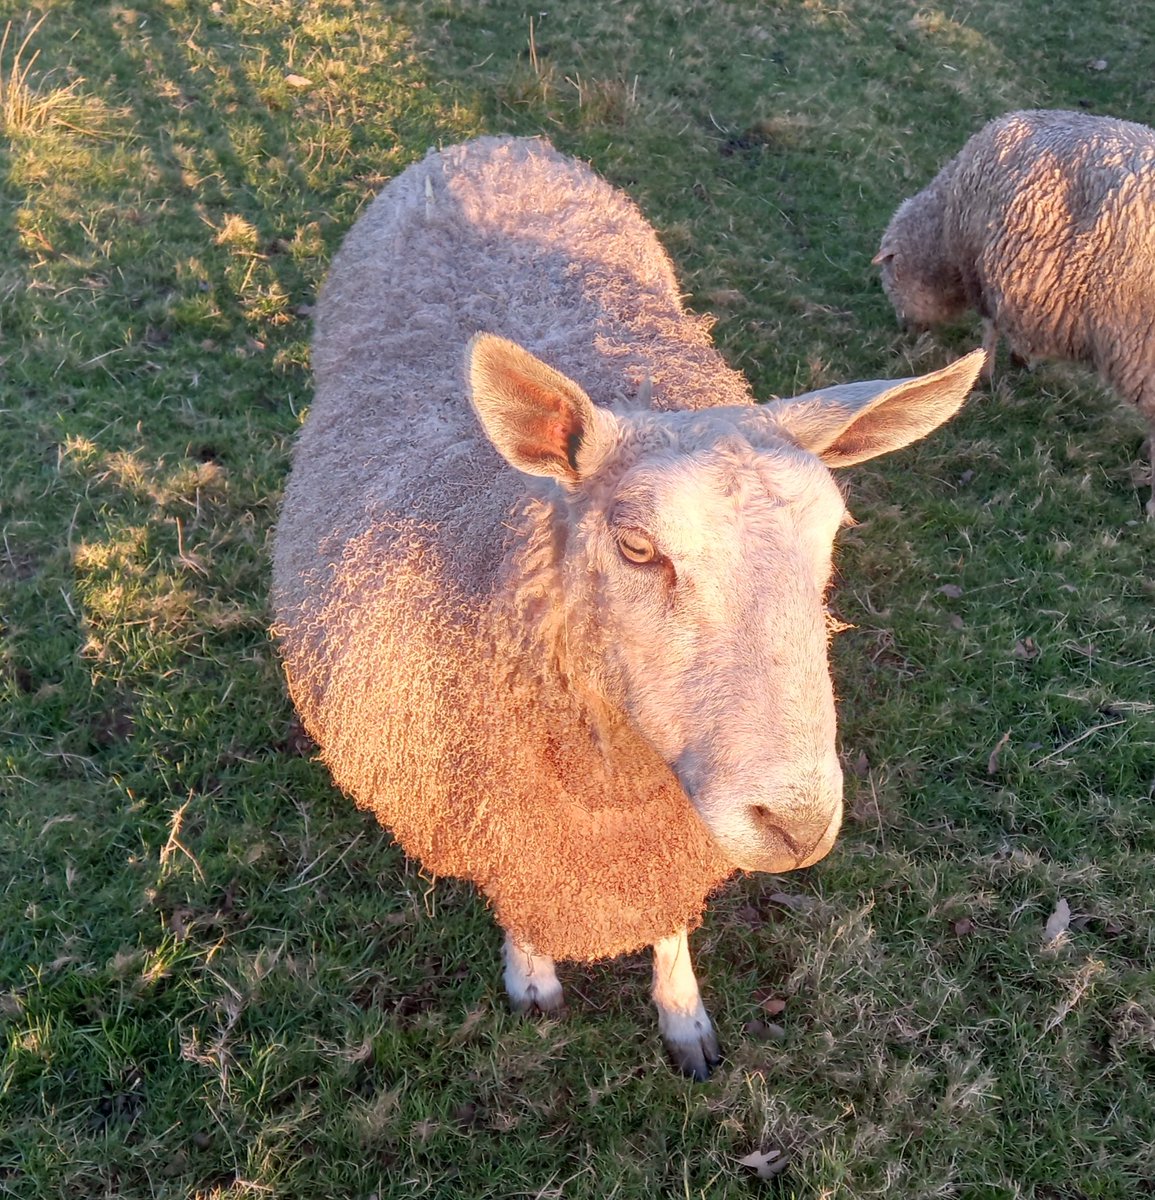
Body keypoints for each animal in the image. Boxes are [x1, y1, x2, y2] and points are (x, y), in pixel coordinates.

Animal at [272, 136, 979, 1084]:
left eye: (832, 535)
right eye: (638, 547)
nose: (795, 823)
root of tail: (490, 145)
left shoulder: (669, 839)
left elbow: (672, 930)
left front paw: (683, 1019)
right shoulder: (507, 832)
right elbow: (523, 905)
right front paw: (532, 981)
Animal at [874, 106, 1152, 511]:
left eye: (889, 276)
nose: (904, 330)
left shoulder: (990, 271)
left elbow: (991, 325)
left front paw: (987, 371)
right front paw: (1021, 359)